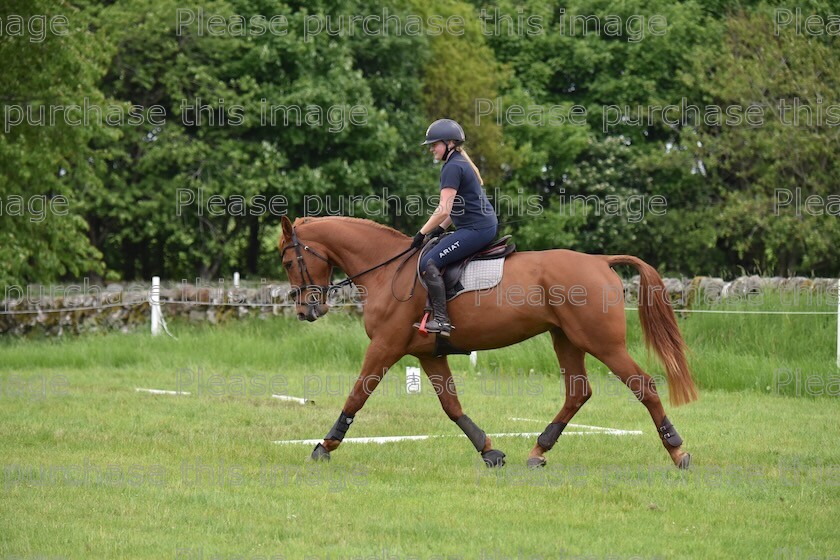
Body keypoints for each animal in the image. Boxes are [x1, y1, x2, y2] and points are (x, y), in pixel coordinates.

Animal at [278, 214, 700, 468]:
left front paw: (325, 445)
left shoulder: (386, 346)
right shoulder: (427, 354)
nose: (305, 310)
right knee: (578, 393)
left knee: (643, 385)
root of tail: (600, 261)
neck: (386, 270)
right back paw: (538, 450)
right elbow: (452, 406)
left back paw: (677, 449)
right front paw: (489, 450)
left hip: (603, 344)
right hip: (566, 339)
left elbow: (357, 394)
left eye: (287, 261)